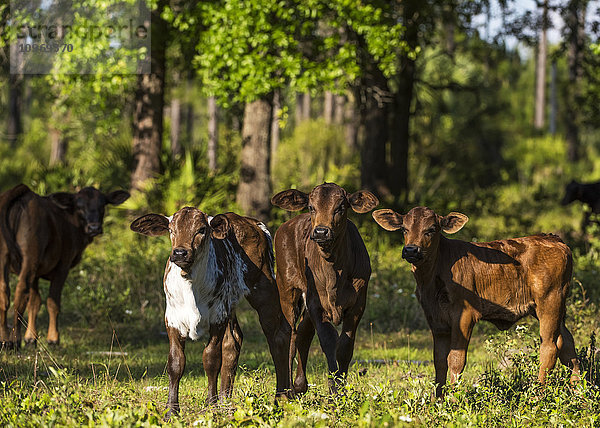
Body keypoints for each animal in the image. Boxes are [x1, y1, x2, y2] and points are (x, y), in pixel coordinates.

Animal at [0, 183, 130, 348]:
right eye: (79, 206)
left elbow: (35, 302)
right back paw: (15, 340)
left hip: (6, 257)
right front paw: (53, 338)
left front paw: (31, 338)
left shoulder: (37, 273)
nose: (94, 227)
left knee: (4, 294)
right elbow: (52, 302)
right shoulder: (63, 266)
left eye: (102, 205)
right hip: (30, 258)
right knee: (20, 294)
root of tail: (22, 192)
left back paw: (4, 340)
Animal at [130, 207, 290, 414]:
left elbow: (211, 359)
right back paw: (225, 401)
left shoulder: (217, 318)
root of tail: (251, 222)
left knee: (278, 337)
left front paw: (211, 404)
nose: (180, 253)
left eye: (201, 230)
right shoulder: (172, 319)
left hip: (264, 290)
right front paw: (171, 410)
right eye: (171, 229)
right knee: (233, 341)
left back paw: (281, 397)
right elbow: (175, 362)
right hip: (231, 304)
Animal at [372, 207, 580, 398]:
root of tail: (553, 238)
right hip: (551, 308)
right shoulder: (435, 318)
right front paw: (437, 400)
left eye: (431, 229)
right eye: (404, 229)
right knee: (567, 343)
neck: (430, 279)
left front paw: (453, 400)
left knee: (550, 346)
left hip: (550, 301)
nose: (411, 250)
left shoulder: (465, 315)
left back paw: (539, 395)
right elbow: (439, 360)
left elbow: (455, 358)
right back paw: (578, 390)